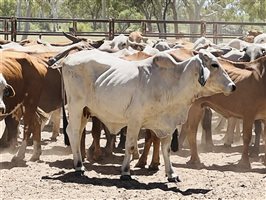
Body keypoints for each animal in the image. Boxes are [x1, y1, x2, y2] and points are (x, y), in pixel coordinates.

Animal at [61, 48, 235, 181]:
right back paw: (79, 167)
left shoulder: (167, 124)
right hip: (76, 107)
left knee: (76, 132)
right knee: (74, 133)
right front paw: (125, 172)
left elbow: (166, 149)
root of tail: (67, 59)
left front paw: (171, 174)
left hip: (85, 111)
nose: (233, 86)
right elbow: (130, 145)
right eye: (214, 65)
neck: (171, 83)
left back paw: (79, 164)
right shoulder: (134, 120)